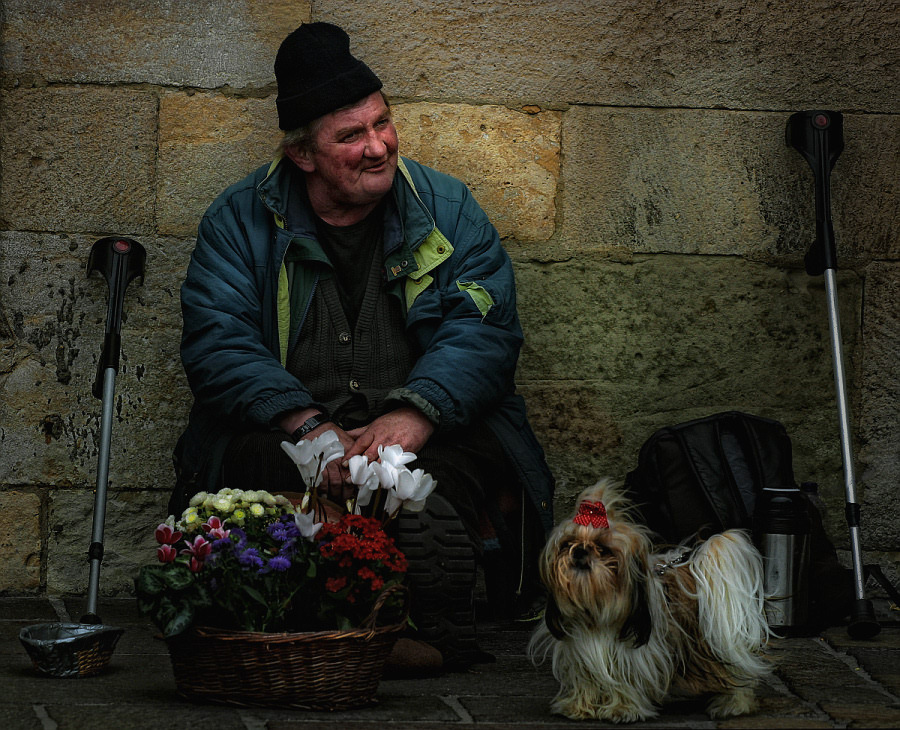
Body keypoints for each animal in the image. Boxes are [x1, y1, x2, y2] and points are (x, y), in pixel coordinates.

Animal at [528, 474, 772, 720]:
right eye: (567, 544)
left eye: (603, 549)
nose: (579, 551)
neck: (596, 614)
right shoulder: (579, 652)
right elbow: (586, 680)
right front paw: (579, 707)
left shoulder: (631, 654)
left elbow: (624, 682)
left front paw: (622, 709)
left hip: (715, 641)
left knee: (734, 673)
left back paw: (734, 704)